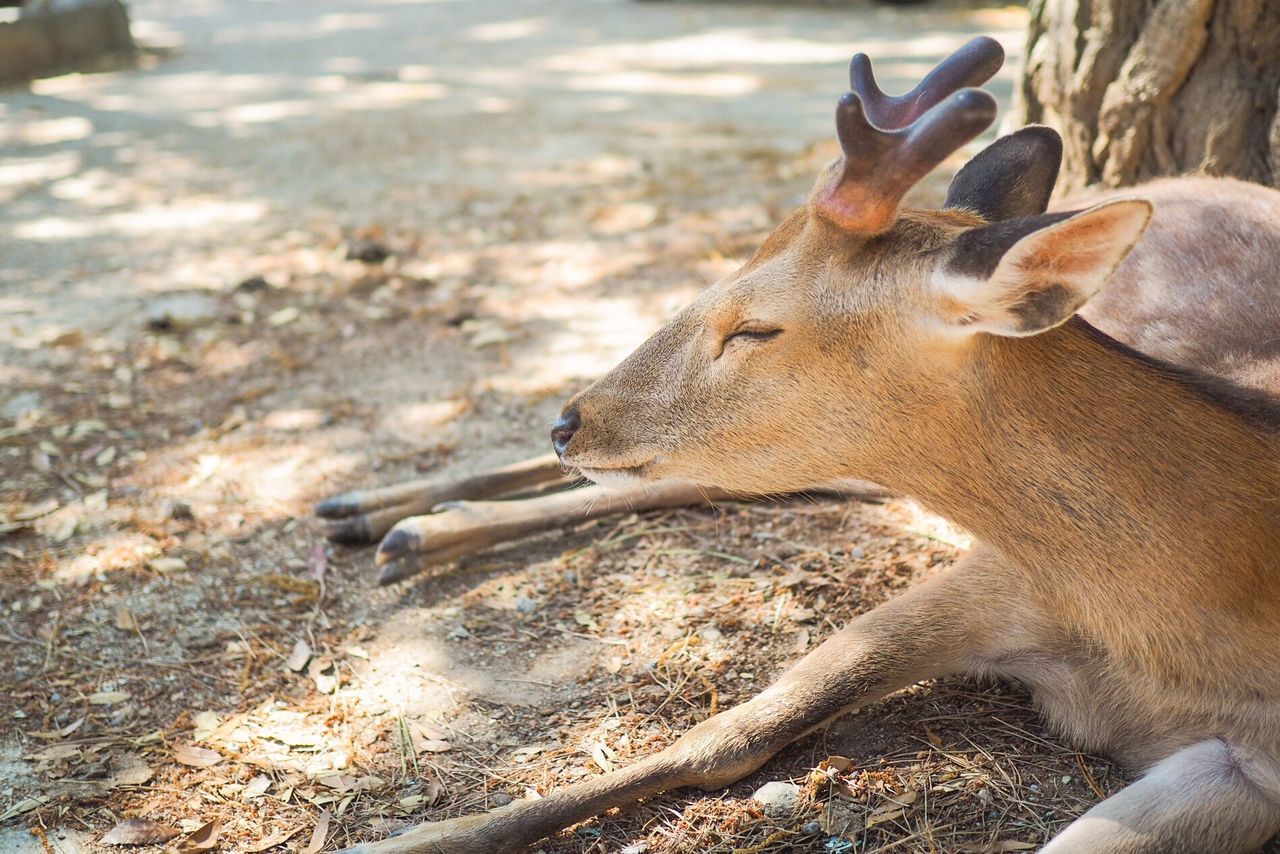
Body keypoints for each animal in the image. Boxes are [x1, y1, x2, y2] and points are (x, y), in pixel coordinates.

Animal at [330, 38, 1280, 854]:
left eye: (756, 327)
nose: (570, 421)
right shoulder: (996, 576)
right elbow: (729, 733)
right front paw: (403, 839)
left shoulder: (1248, 773)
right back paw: (374, 511)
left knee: (704, 483)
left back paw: (401, 520)